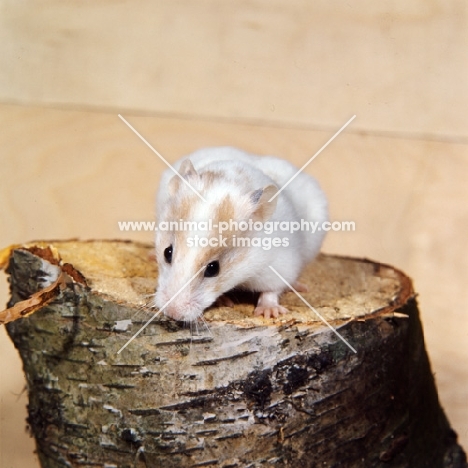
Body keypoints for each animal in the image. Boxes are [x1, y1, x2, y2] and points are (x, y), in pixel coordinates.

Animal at [154, 146, 330, 322]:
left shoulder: (280, 265)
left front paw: (268, 313)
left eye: (213, 269)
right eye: (167, 252)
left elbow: (271, 290)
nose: (172, 313)